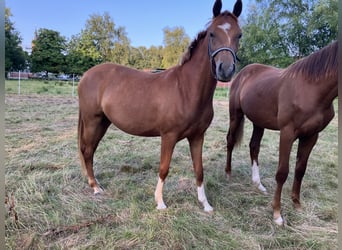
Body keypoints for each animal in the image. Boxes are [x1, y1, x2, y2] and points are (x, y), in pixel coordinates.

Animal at [78, 0, 243, 212]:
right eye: (212, 34)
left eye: (239, 35)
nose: (225, 70)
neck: (186, 89)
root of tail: (86, 75)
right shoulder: (169, 136)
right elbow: (164, 168)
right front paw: (160, 202)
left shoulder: (197, 136)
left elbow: (199, 169)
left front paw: (205, 204)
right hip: (92, 121)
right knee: (87, 150)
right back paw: (95, 187)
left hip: (103, 123)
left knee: (90, 151)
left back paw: (95, 183)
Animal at [226, 41, 338, 225]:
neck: (311, 88)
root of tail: (243, 73)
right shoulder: (287, 133)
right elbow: (282, 172)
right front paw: (277, 213)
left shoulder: (311, 136)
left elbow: (300, 170)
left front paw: (297, 204)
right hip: (235, 115)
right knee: (230, 141)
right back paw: (228, 174)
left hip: (259, 122)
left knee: (254, 147)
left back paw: (258, 184)